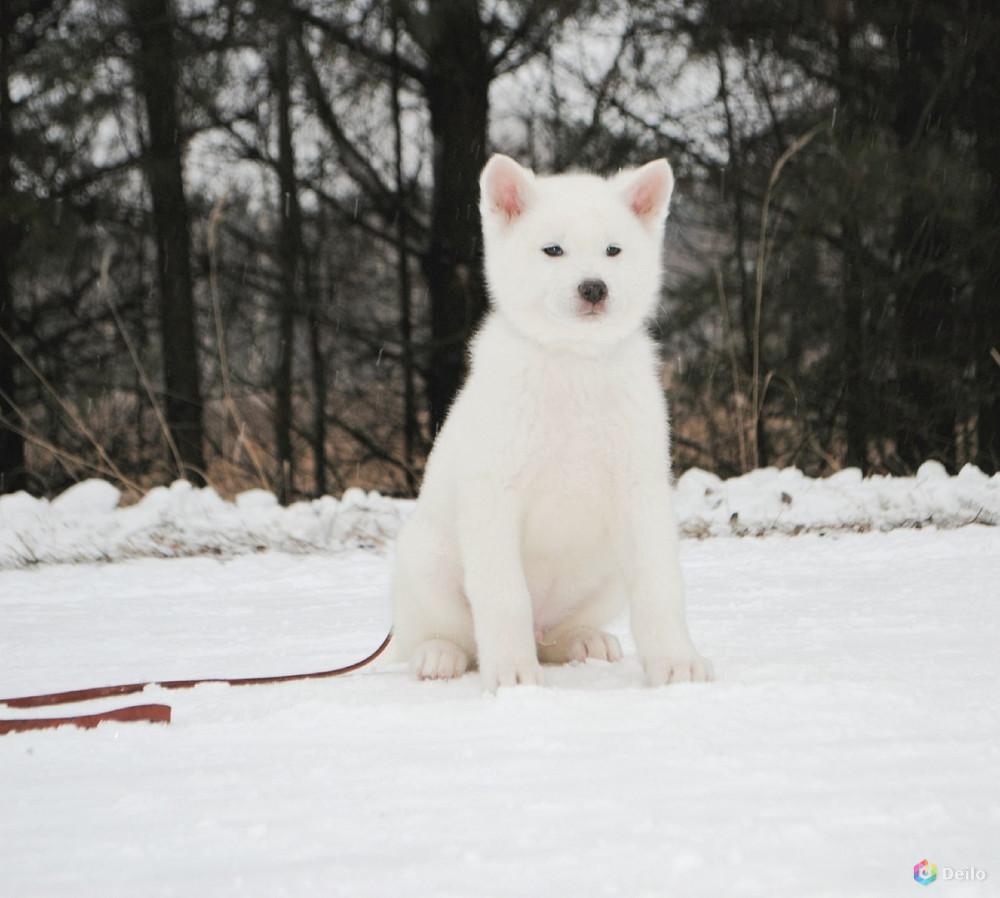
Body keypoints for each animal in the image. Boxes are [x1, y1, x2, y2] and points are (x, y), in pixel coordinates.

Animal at [388, 154, 712, 688]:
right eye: (553, 250)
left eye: (613, 250)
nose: (594, 288)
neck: (572, 364)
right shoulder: (494, 495)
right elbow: (503, 598)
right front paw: (513, 676)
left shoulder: (640, 491)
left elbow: (659, 586)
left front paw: (676, 663)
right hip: (425, 563)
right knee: (441, 634)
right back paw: (439, 656)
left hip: (605, 575)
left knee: (556, 638)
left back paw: (584, 641)